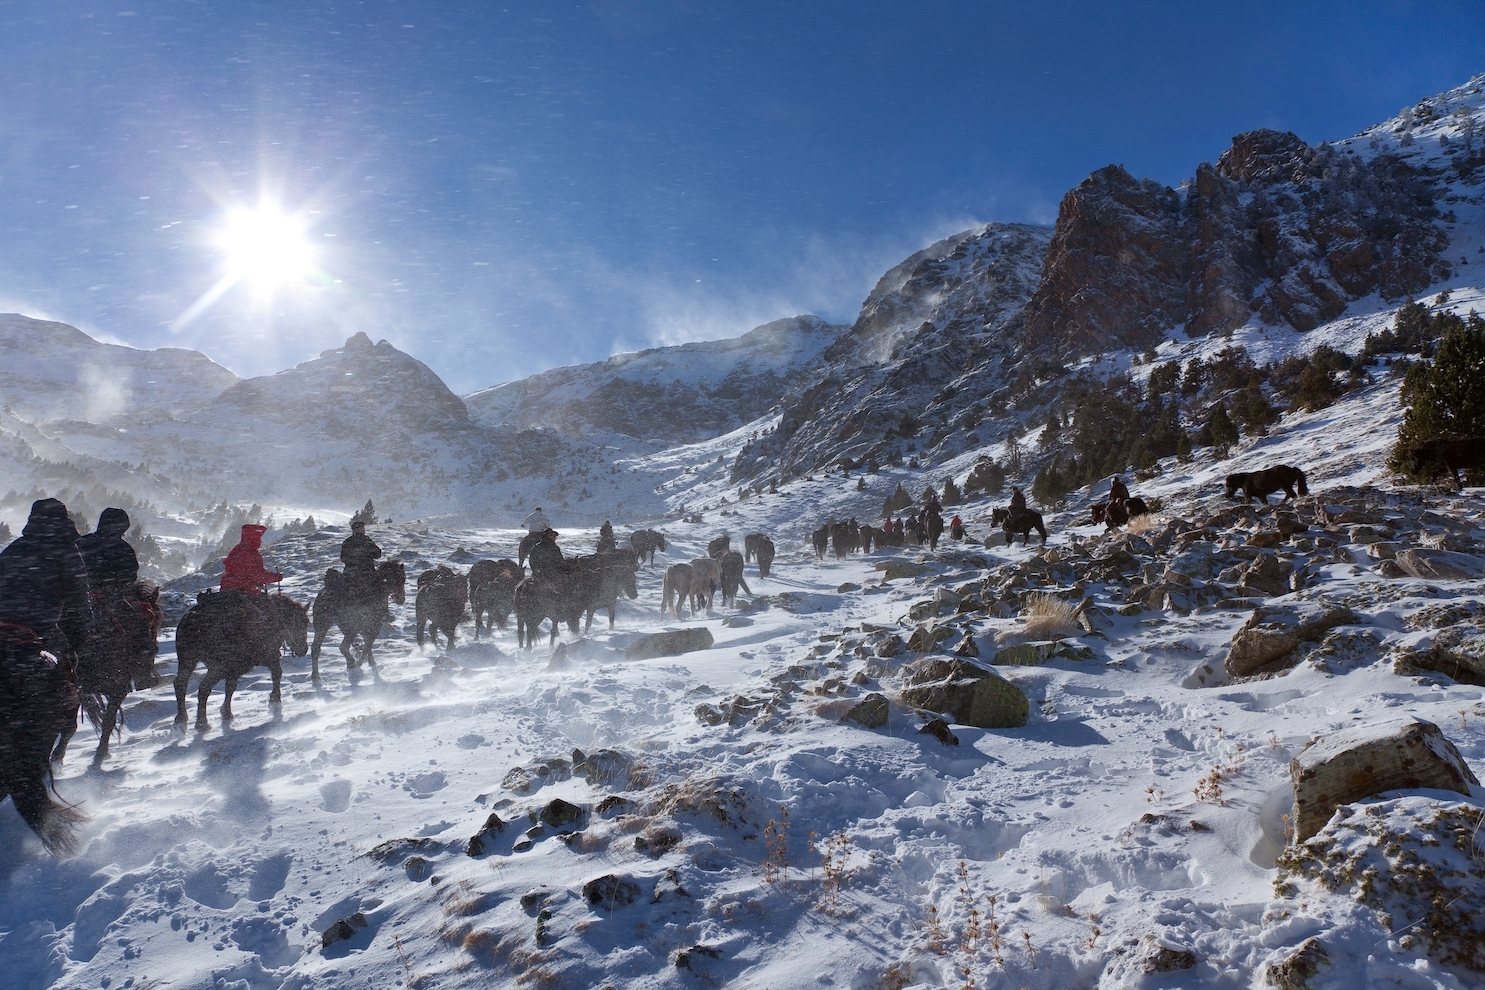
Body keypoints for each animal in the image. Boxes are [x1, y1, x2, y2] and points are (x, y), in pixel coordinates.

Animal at [173, 593, 310, 733]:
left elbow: (230, 688)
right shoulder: (269, 656)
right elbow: (277, 673)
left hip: (187, 660)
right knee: (203, 688)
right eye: (299, 623)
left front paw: (227, 713)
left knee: (180, 684)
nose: (303, 649)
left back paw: (181, 718)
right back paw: (202, 723)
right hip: (215, 667)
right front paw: (275, 698)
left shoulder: (234, 669)